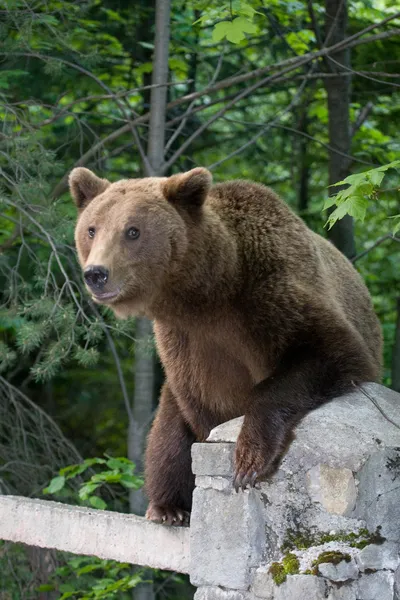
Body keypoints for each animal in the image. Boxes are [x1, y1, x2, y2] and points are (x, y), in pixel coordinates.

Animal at [70, 165, 382, 524]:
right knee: (167, 434)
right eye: (91, 229)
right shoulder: (187, 343)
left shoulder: (272, 299)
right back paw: (167, 506)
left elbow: (330, 353)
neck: (210, 292)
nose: (96, 274)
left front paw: (248, 460)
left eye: (132, 231)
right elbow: (203, 409)